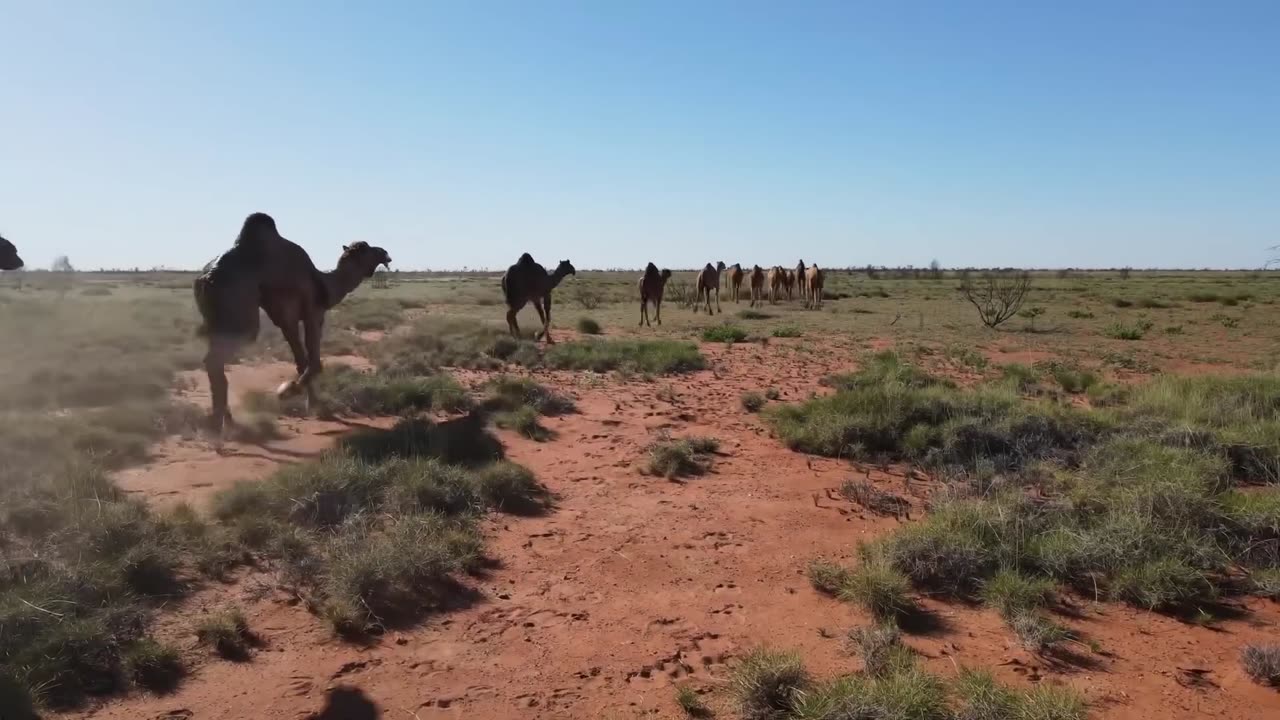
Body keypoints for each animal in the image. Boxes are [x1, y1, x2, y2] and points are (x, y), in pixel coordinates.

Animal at [194, 212, 389, 435]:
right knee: (214, 360)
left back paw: (227, 422)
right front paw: (289, 391)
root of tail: (205, 279)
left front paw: (314, 406)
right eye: (367, 248)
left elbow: (301, 361)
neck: (325, 285)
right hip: (240, 316)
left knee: (214, 363)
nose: (385, 252)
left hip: (218, 321)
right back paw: (219, 425)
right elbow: (314, 362)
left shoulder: (286, 320)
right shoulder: (313, 312)